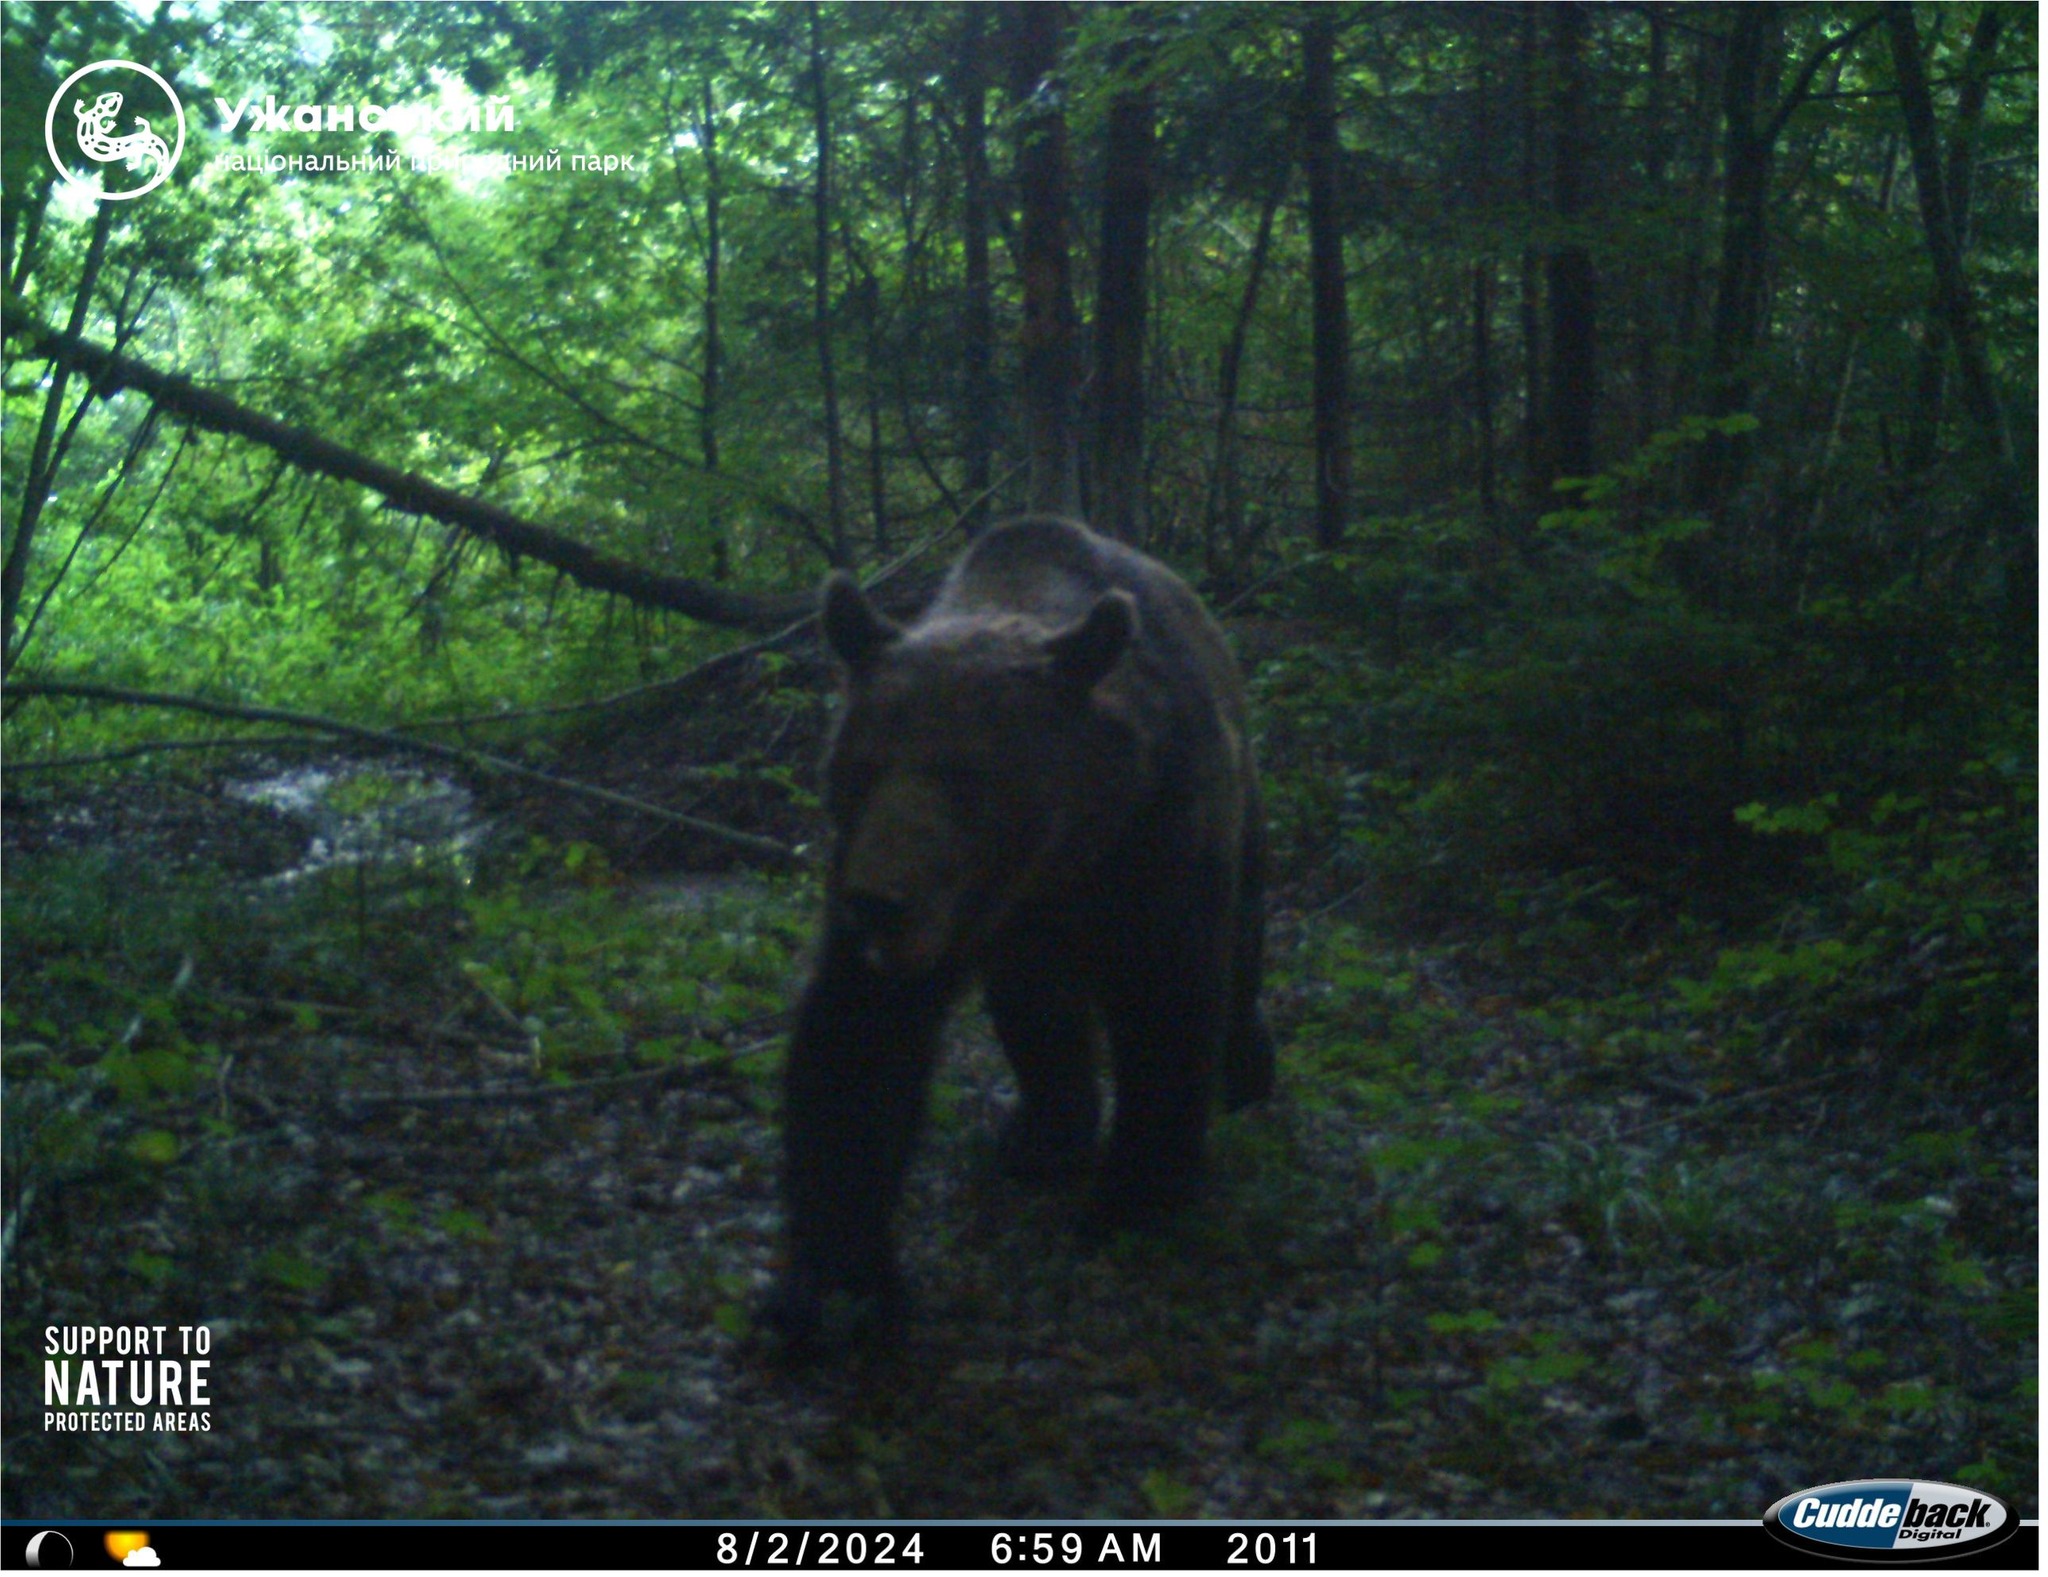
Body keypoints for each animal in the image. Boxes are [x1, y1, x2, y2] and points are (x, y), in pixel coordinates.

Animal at [765, 512, 1269, 1343]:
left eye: (967, 774)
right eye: (860, 767)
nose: (878, 900)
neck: (1055, 857)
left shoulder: (1157, 839)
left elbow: (1166, 1005)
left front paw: (1138, 1193)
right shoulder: (902, 887)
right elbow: (858, 1044)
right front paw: (837, 1284)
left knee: (1245, 941)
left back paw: (1246, 1074)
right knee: (1037, 1009)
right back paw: (1044, 1133)